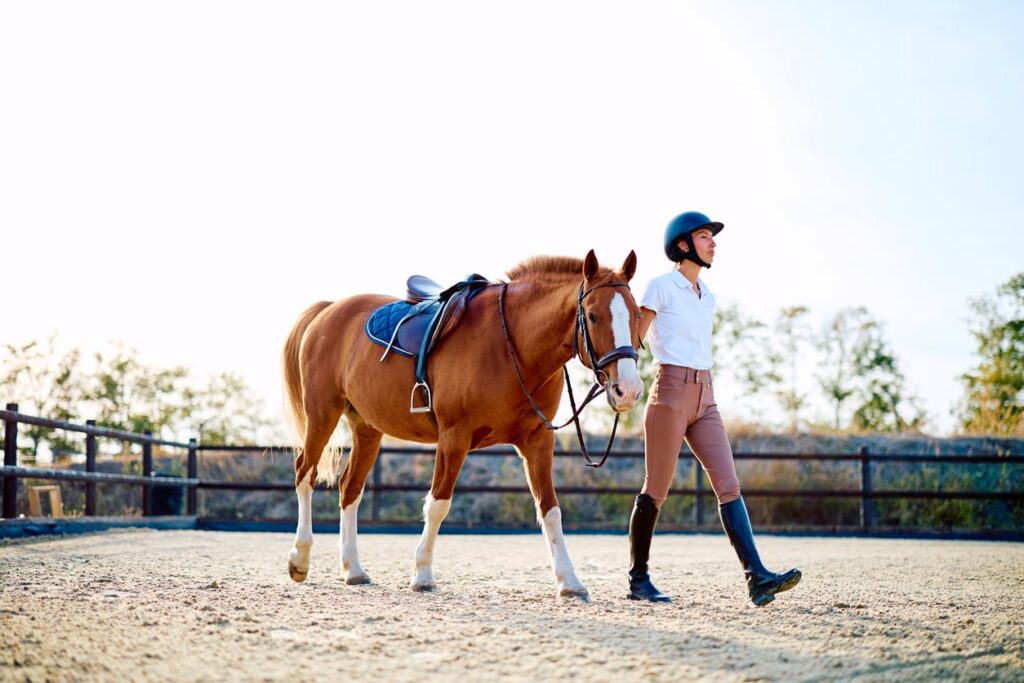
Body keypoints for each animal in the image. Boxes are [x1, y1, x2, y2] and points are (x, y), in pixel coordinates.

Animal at [281, 250, 644, 601]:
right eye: (592, 316)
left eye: (637, 316)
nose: (628, 390)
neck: (511, 345)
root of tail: (329, 310)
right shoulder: (454, 438)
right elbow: (438, 504)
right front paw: (422, 575)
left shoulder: (537, 441)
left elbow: (550, 510)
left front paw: (569, 581)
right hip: (322, 414)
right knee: (305, 475)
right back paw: (300, 558)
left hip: (367, 428)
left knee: (350, 488)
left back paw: (353, 569)